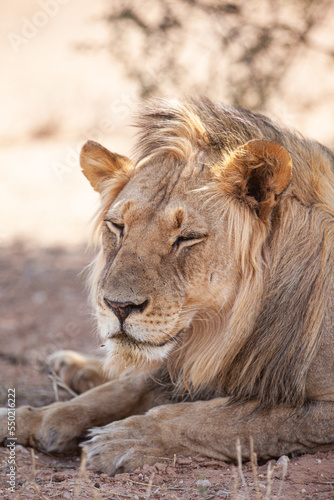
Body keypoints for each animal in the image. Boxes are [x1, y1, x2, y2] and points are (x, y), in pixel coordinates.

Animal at [0, 98, 334, 476]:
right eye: (117, 226)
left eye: (186, 238)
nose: (118, 306)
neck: (226, 329)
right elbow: (117, 392)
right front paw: (29, 419)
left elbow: (227, 418)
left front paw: (126, 439)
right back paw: (70, 365)